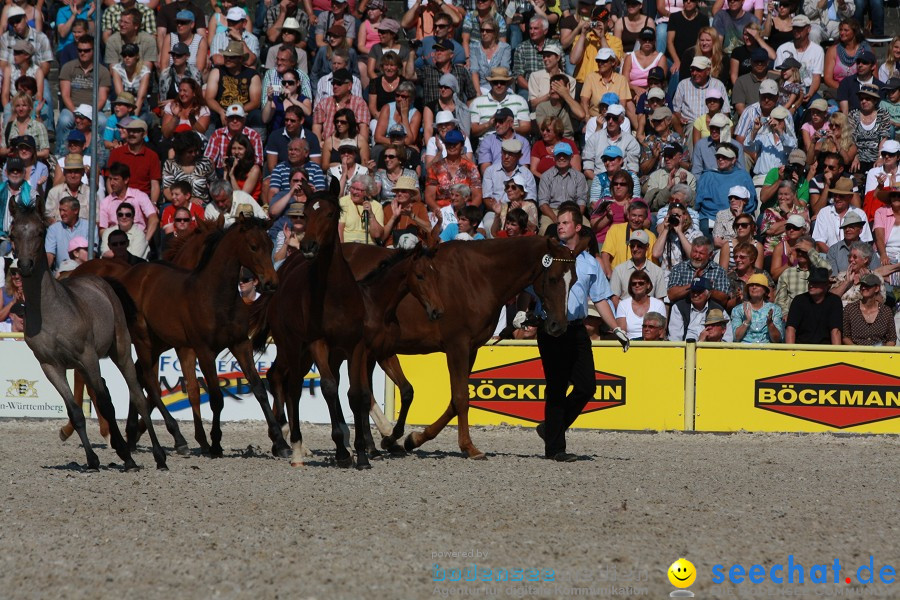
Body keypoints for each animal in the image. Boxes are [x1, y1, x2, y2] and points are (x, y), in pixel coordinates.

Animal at [8, 199, 168, 472]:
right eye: (12, 233)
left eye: (40, 232)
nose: (25, 266)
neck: (51, 313)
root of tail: (102, 281)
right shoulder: (50, 366)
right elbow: (75, 411)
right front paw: (92, 460)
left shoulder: (88, 357)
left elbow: (106, 405)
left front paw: (128, 457)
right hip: (82, 366)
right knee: (102, 391)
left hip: (119, 352)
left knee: (135, 395)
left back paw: (158, 456)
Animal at [248, 193, 444, 468]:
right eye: (420, 275)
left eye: (435, 274)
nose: (437, 310)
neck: (377, 303)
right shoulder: (367, 354)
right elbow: (362, 395)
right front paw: (378, 442)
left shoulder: (381, 353)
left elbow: (399, 392)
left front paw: (383, 441)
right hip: (298, 349)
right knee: (280, 377)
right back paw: (288, 441)